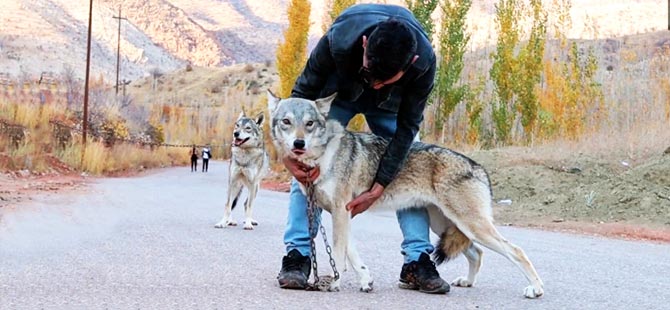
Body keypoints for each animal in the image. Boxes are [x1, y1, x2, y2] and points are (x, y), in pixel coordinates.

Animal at [268, 91, 544, 298]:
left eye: (309, 124)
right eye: (286, 122)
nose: (298, 144)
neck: (322, 157)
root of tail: (478, 167)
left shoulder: (340, 213)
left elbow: (338, 255)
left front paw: (334, 283)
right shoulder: (343, 214)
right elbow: (351, 253)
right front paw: (365, 280)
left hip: (471, 226)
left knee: (516, 251)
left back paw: (536, 289)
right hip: (447, 226)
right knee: (477, 252)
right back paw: (467, 282)